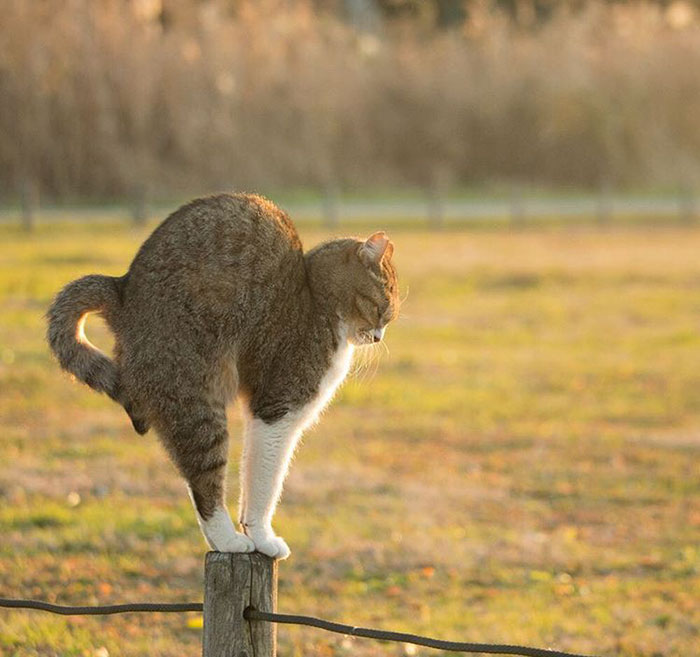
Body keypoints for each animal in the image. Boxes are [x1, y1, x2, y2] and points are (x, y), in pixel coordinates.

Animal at [46, 192, 400, 556]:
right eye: (385, 307)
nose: (379, 337)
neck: (316, 299)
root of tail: (122, 291)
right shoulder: (276, 408)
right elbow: (266, 480)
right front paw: (262, 537)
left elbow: (252, 474)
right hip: (195, 401)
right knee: (205, 487)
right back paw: (229, 540)